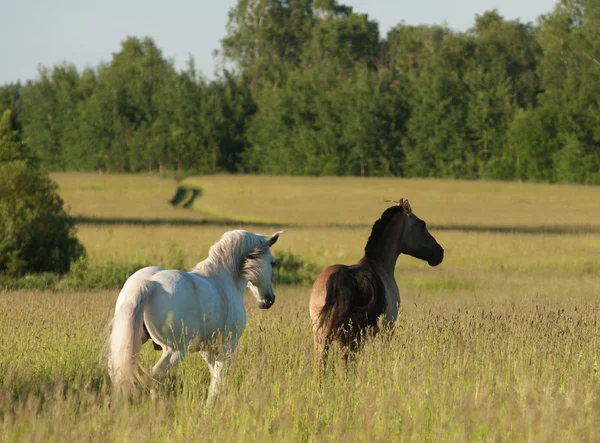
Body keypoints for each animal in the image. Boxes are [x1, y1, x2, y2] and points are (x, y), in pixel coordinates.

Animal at [106, 231, 284, 404]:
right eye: (273, 263)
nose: (269, 300)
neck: (224, 280)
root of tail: (150, 284)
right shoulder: (227, 345)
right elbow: (219, 377)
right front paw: (211, 405)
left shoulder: (206, 348)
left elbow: (214, 374)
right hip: (175, 350)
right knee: (153, 376)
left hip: (132, 343)